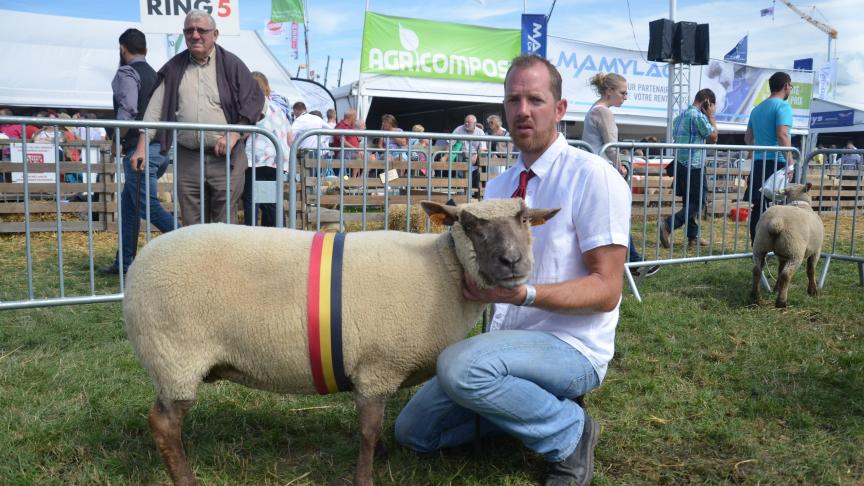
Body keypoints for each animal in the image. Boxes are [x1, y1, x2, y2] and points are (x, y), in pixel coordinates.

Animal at [125, 197, 564, 486]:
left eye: (526, 219)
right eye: (469, 225)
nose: (512, 262)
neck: (443, 273)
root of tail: (139, 264)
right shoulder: (378, 366)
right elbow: (368, 429)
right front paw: (365, 476)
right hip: (176, 356)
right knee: (163, 425)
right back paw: (186, 479)